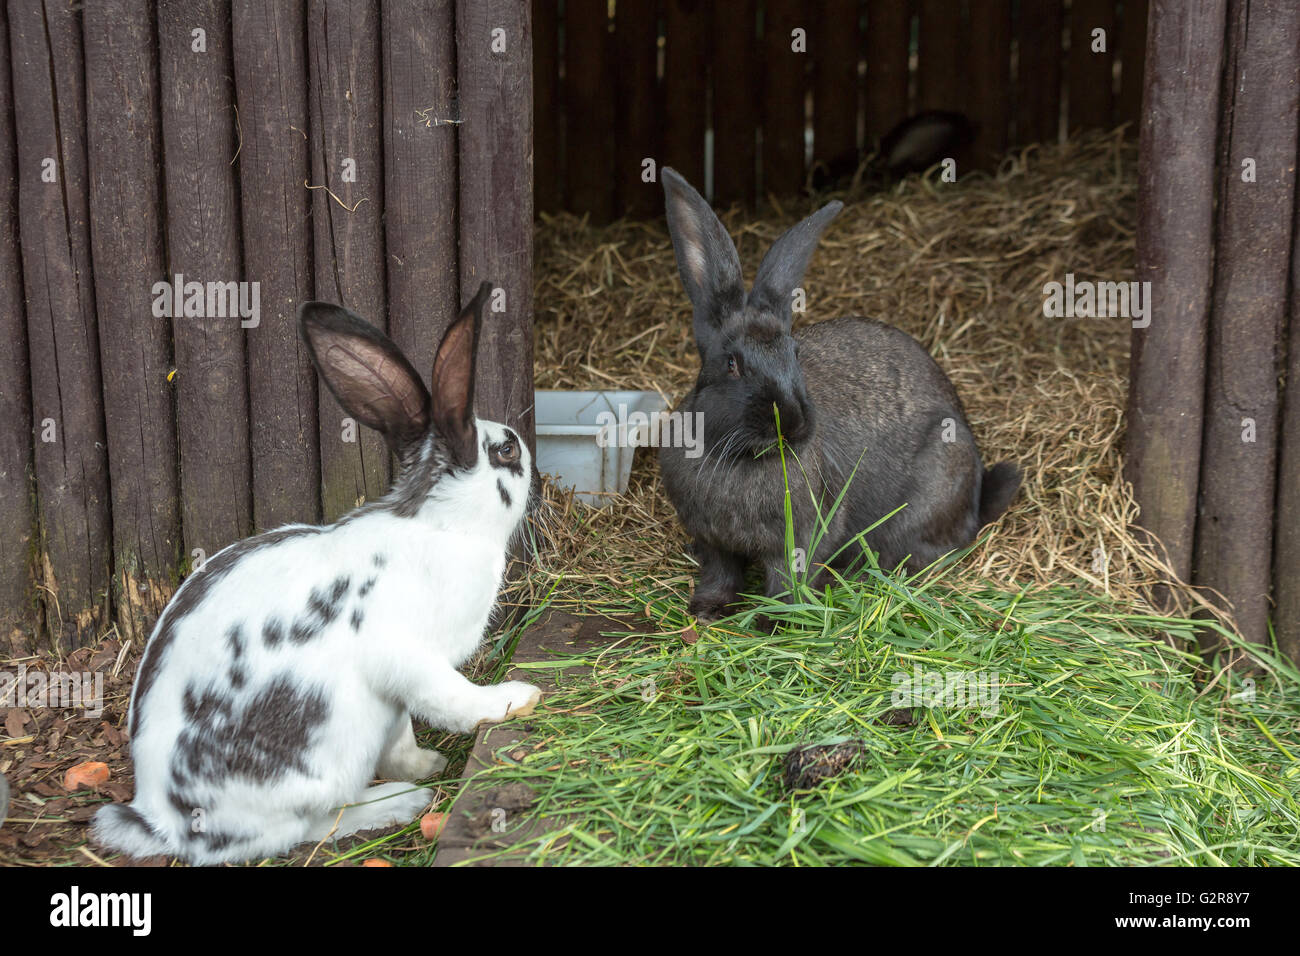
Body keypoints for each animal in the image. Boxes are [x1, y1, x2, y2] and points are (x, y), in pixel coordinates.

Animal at [92, 280, 538, 863]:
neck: (441, 524)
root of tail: (162, 819)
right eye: (505, 449)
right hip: (314, 770)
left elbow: (402, 735)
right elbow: (455, 698)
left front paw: (429, 763)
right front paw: (518, 698)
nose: (531, 456)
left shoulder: (392, 700)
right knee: (307, 826)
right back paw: (400, 802)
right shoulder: (410, 658)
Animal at [660, 169, 1013, 621]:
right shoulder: (713, 542)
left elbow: (788, 580)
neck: (742, 457)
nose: (792, 422)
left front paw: (774, 621)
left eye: (795, 354)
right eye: (732, 364)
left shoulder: (805, 536)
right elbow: (721, 573)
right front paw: (706, 610)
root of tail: (976, 498)